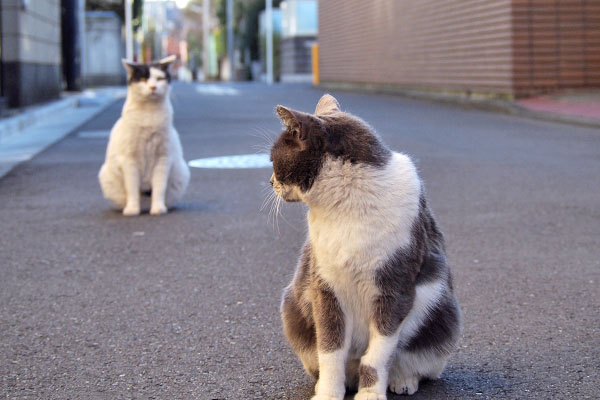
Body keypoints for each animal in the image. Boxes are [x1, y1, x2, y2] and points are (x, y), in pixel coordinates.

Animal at [98, 55, 189, 216]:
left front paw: (158, 208)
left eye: (159, 78)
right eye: (143, 79)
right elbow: (132, 188)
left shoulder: (163, 158)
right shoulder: (129, 159)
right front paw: (132, 209)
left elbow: (159, 186)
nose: (153, 87)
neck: (149, 114)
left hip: (181, 174)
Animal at [270, 94, 462, 400]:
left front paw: (370, 394)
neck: (344, 205)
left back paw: (403, 381)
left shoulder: (394, 289)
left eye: (272, 159)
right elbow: (330, 350)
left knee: (413, 361)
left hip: (442, 315)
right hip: (293, 306)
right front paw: (328, 393)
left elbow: (378, 355)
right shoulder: (324, 286)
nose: (270, 182)